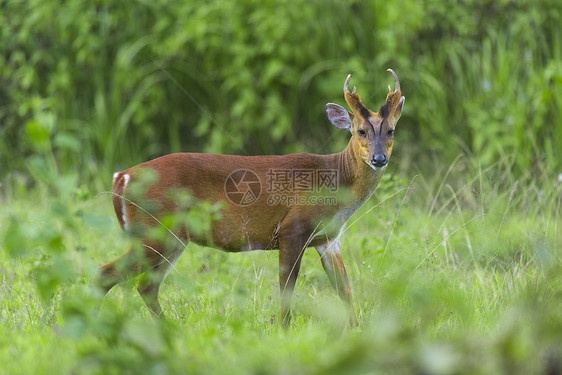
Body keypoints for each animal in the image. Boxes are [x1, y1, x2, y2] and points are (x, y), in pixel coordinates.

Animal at [96, 69, 402, 328]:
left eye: (391, 131)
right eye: (361, 130)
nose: (379, 159)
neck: (335, 181)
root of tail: (122, 176)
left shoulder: (329, 239)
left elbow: (345, 290)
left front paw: (355, 331)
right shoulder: (293, 228)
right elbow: (287, 289)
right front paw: (282, 331)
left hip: (172, 238)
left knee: (146, 286)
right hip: (154, 230)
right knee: (107, 274)